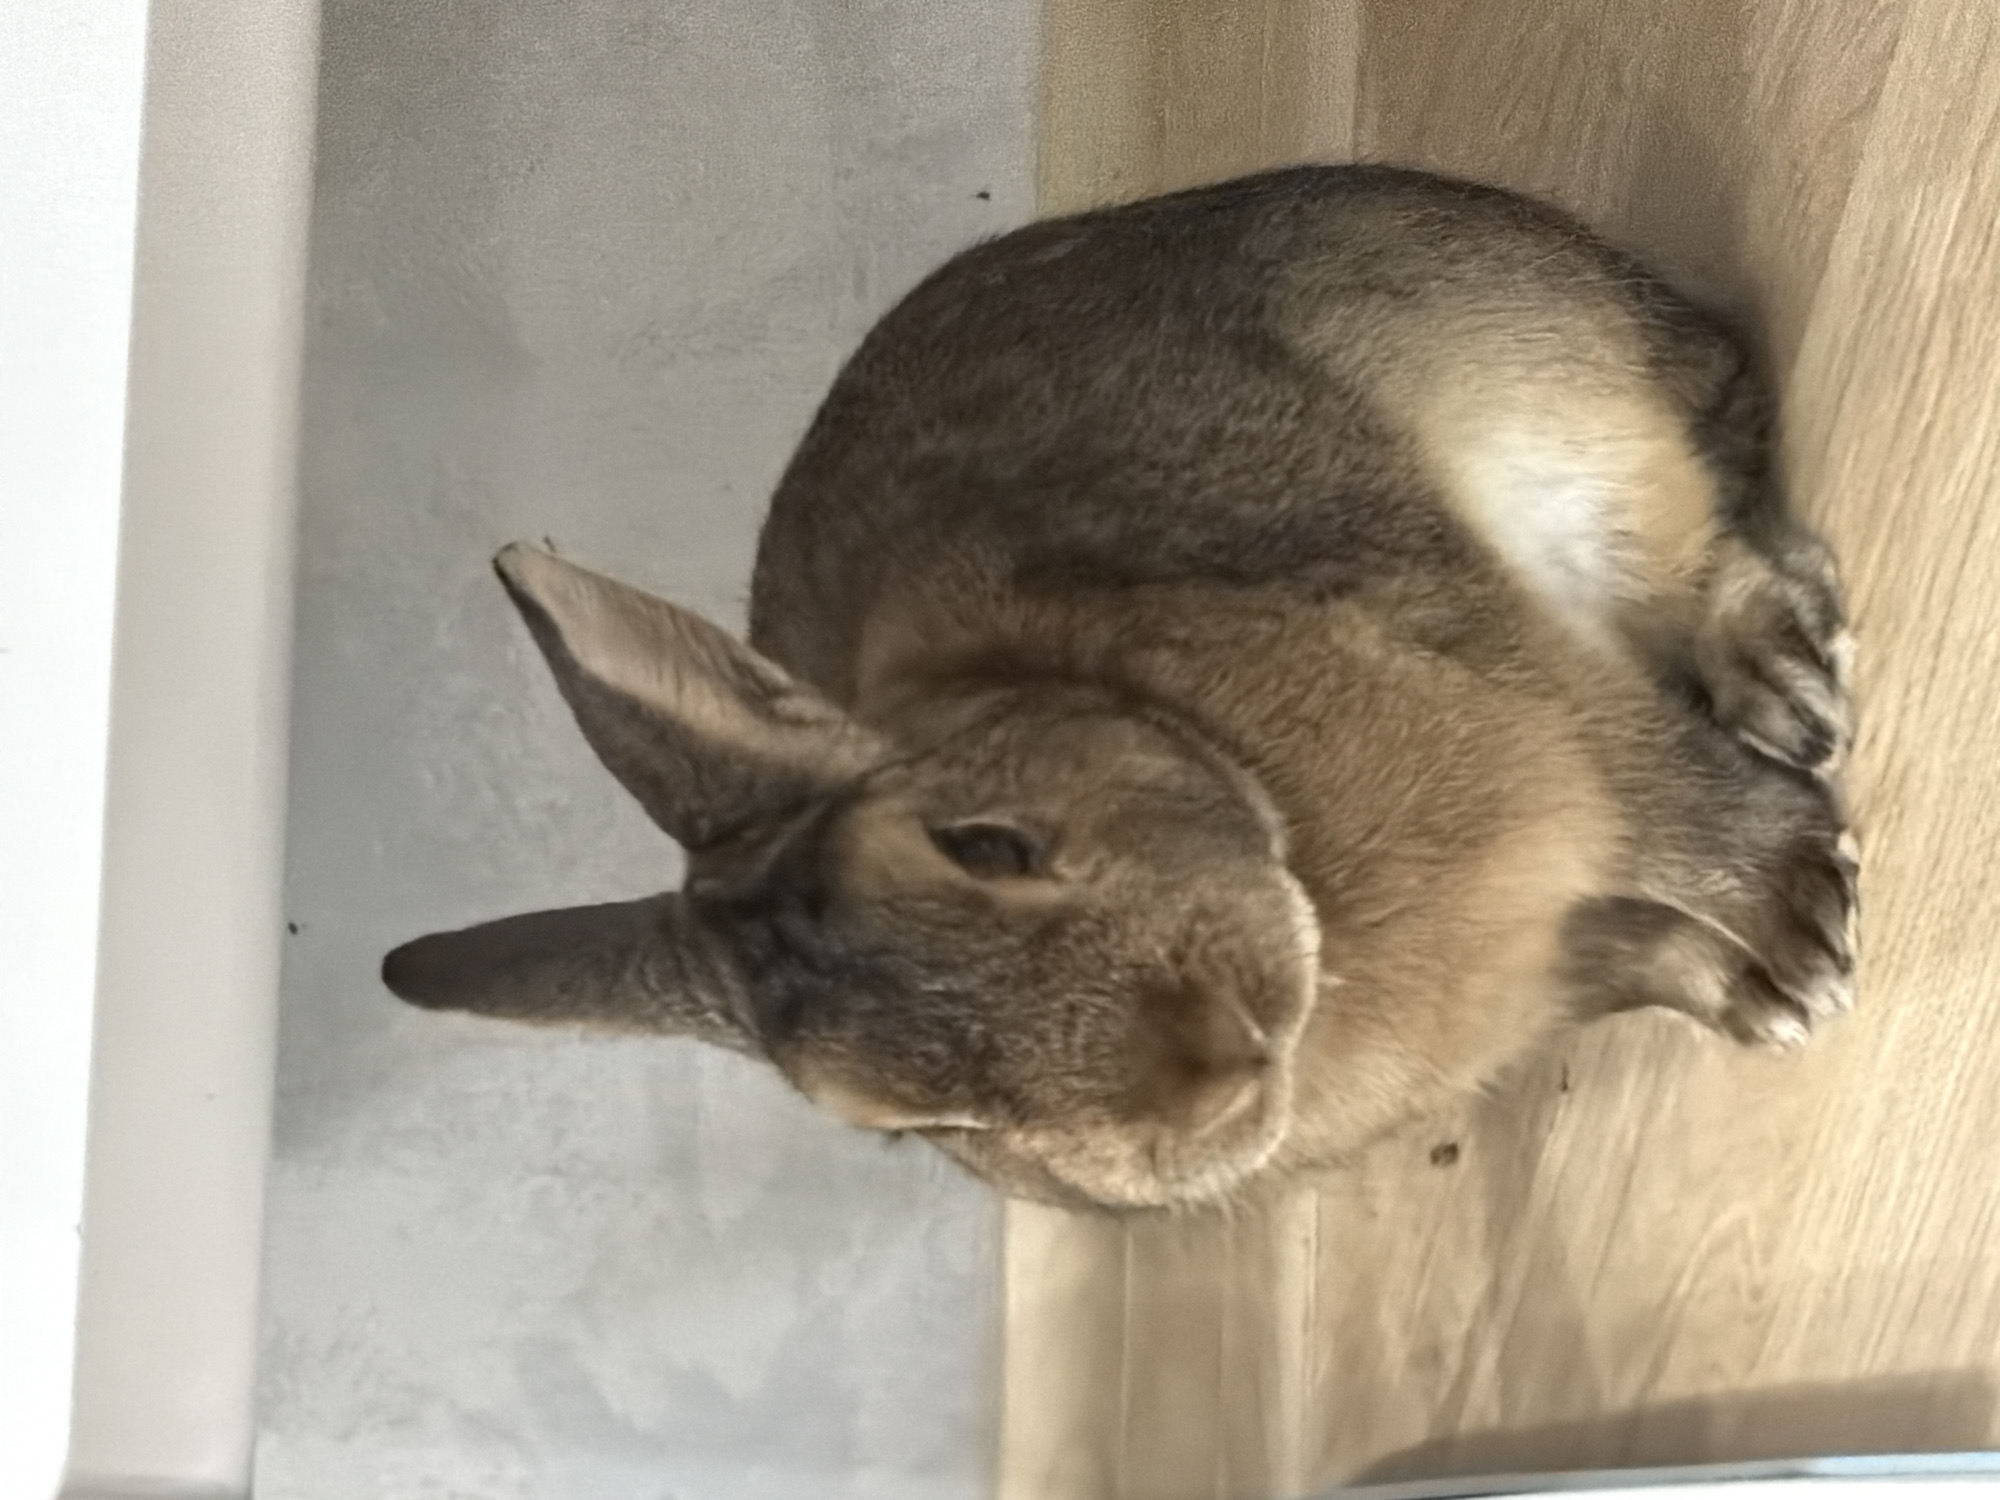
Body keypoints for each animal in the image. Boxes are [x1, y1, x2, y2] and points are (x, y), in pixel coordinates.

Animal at [383, 164, 1857, 1212]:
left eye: (988, 843)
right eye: (924, 1127)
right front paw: (1763, 999)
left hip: (1558, 417)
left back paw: (1787, 676)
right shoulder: (1558, 960)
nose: (1214, 1076)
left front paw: (1801, 924)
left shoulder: (1510, 670)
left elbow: (1669, 796)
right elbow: (1645, 951)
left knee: (1705, 525)